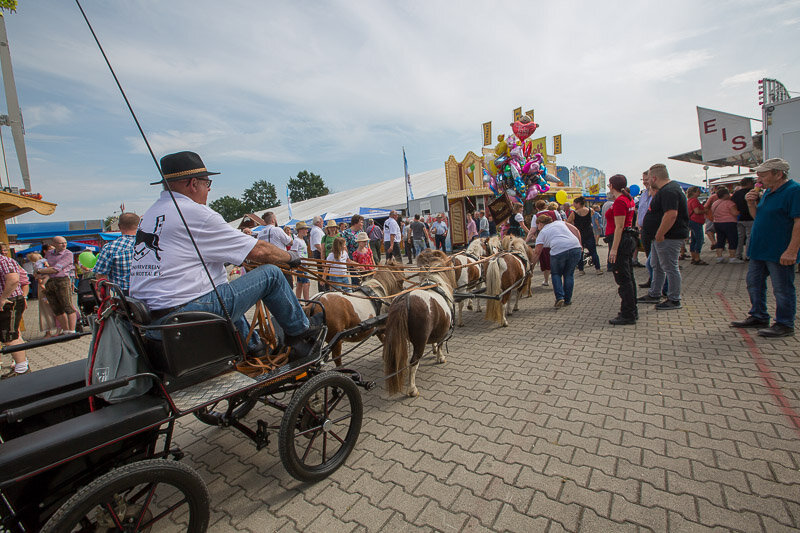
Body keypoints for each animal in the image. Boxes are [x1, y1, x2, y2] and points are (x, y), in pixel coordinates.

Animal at [382, 249, 456, 394]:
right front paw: (440, 357)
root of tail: (404, 300)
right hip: (420, 342)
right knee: (414, 362)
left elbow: (434, 341)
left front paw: (434, 350)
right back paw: (412, 389)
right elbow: (440, 343)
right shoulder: (443, 331)